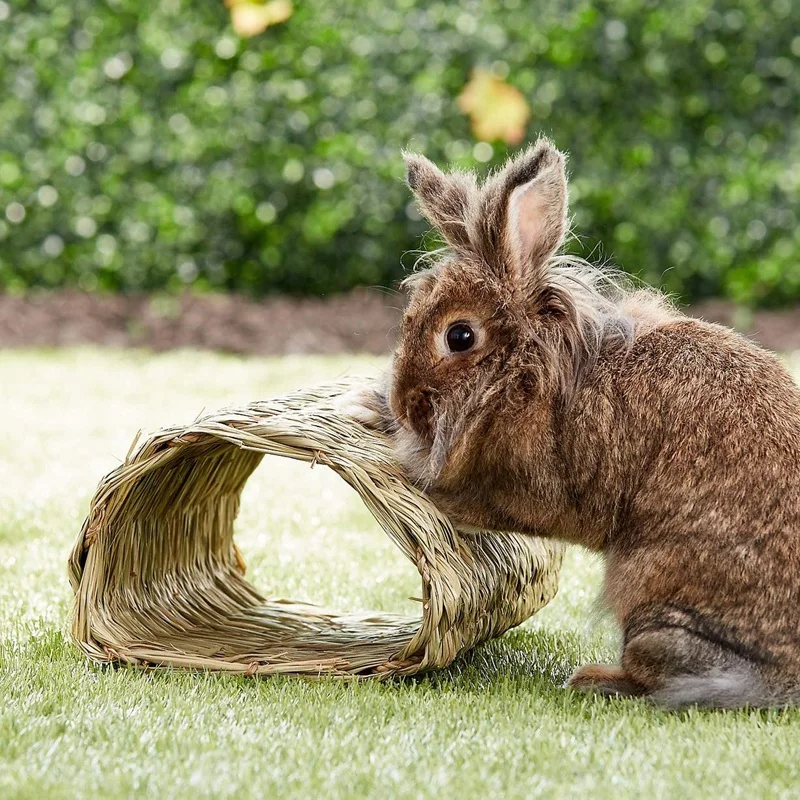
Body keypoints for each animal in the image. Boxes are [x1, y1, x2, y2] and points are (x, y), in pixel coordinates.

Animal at [352, 138, 800, 708]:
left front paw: (395, 449)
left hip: (651, 601)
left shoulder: (534, 487)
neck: (528, 369)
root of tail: (782, 681)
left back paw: (593, 678)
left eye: (459, 336)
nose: (405, 402)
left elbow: (473, 500)